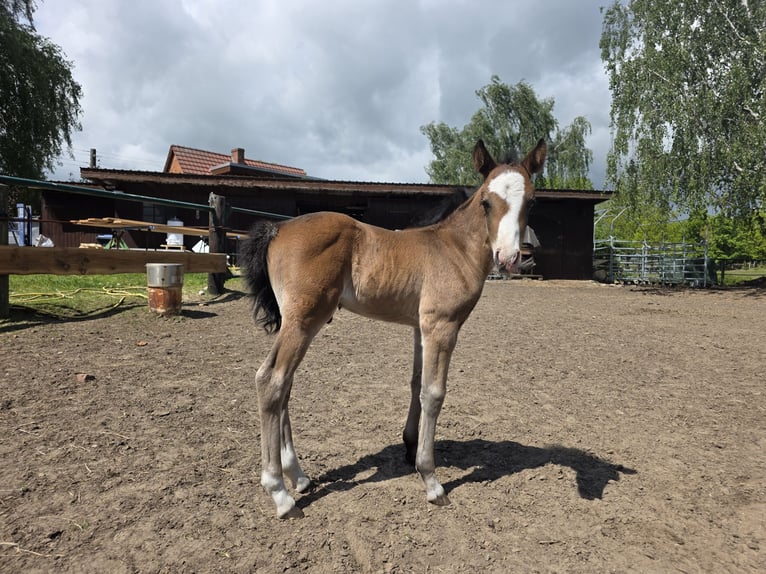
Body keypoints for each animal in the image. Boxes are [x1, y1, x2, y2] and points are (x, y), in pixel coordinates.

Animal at [240, 138, 547, 518]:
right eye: (486, 202)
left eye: (532, 201)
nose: (510, 257)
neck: (454, 248)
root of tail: (278, 229)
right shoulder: (442, 326)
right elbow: (434, 393)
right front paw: (431, 479)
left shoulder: (420, 327)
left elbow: (416, 384)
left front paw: (410, 447)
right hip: (303, 321)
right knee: (271, 381)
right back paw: (280, 493)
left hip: (297, 323)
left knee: (285, 385)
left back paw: (298, 476)